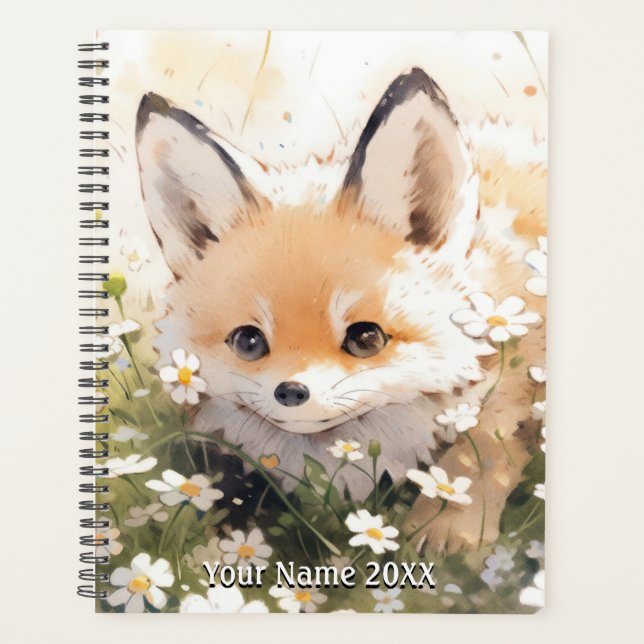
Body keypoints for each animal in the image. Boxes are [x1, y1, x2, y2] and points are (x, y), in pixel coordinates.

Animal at [135, 67, 546, 554]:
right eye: (248, 341)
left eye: (366, 338)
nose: (291, 392)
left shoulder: (507, 398)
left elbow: (480, 459)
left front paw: (448, 529)